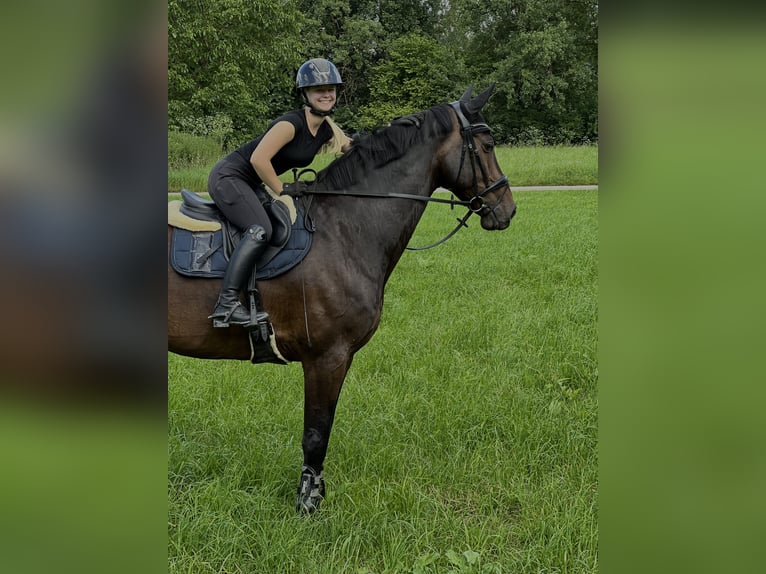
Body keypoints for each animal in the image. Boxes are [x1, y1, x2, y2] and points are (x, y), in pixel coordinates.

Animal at [167, 84, 516, 512]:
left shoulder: (338, 358)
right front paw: (307, 502)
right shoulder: (326, 357)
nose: (507, 209)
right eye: (487, 145)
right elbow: (316, 434)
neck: (343, 231)